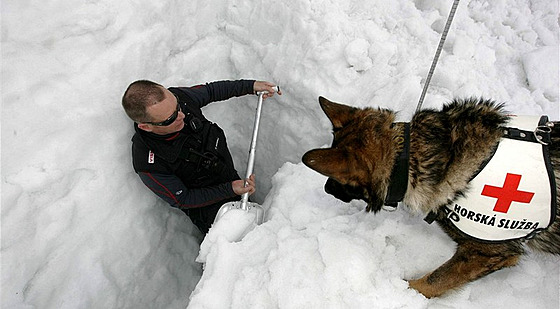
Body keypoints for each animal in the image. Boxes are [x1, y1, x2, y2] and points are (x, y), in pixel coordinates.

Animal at [302, 96, 560, 296]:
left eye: (337, 179)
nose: (326, 188)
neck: (410, 156)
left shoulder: (484, 254)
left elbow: (432, 282)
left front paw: (404, 292)